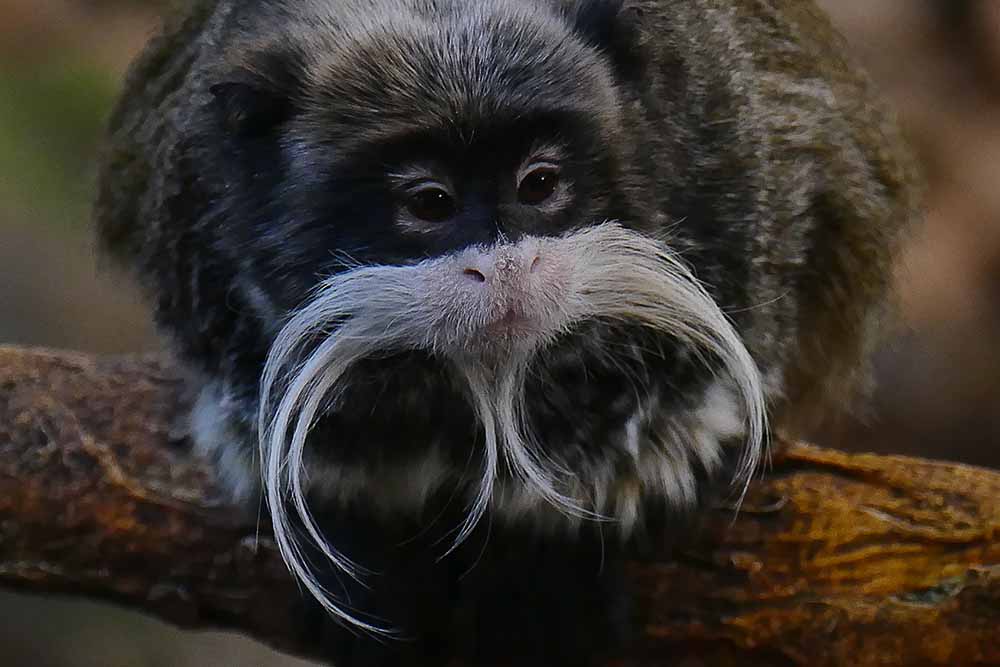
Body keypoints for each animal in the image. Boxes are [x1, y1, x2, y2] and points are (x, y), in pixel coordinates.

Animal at [90, 2, 916, 664]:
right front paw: (353, 523)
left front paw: (554, 534)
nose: (508, 267)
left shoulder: (736, 170)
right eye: (431, 201)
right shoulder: (194, 233)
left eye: (539, 184)